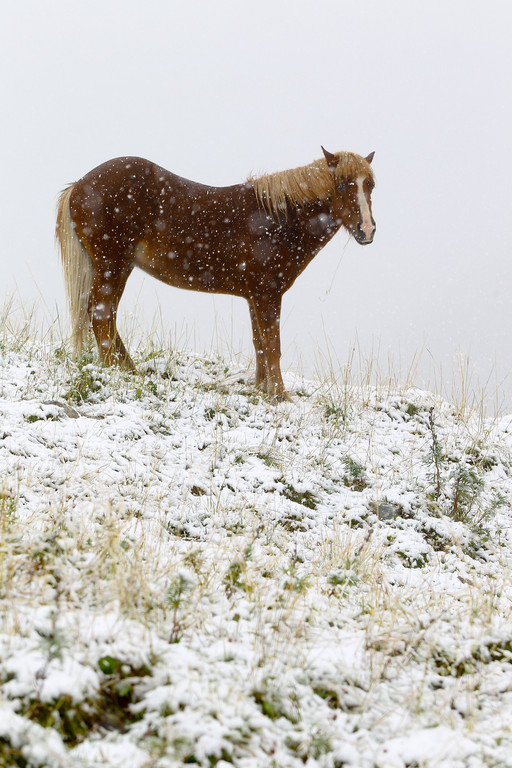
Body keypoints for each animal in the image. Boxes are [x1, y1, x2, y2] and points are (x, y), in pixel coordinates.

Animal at [57, 150, 376, 402]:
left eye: (370, 185)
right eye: (342, 184)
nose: (367, 230)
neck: (279, 219)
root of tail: (79, 185)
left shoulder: (255, 297)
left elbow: (260, 343)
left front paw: (262, 388)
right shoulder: (268, 294)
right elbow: (272, 344)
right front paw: (280, 395)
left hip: (120, 267)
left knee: (105, 313)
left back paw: (127, 367)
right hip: (111, 264)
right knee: (100, 313)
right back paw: (113, 369)